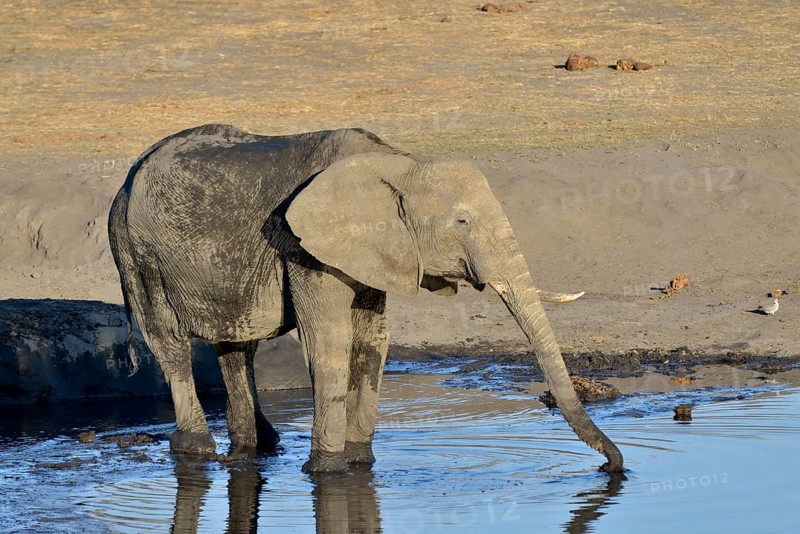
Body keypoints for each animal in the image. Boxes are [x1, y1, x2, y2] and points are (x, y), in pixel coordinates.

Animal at [108, 123, 623, 473]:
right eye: (461, 221)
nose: (614, 466)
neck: (398, 163)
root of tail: (130, 175)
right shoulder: (303, 245)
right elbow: (330, 340)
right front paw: (327, 470)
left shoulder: (376, 248)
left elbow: (372, 340)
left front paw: (360, 462)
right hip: (136, 251)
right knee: (169, 341)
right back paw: (197, 449)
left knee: (236, 347)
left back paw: (260, 445)